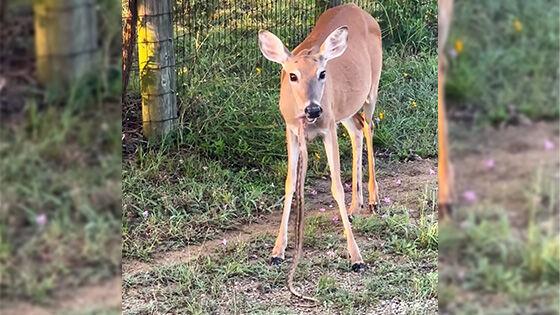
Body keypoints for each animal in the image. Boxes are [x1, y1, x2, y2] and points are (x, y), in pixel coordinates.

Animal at [258, 3, 380, 272]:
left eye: (322, 73)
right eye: (292, 75)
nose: (313, 109)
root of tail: (358, 8)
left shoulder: (328, 128)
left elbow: (336, 186)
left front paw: (356, 257)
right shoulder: (292, 131)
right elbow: (291, 184)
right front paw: (277, 251)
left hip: (371, 89)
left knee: (369, 127)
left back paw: (374, 200)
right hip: (344, 109)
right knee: (357, 129)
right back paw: (356, 206)